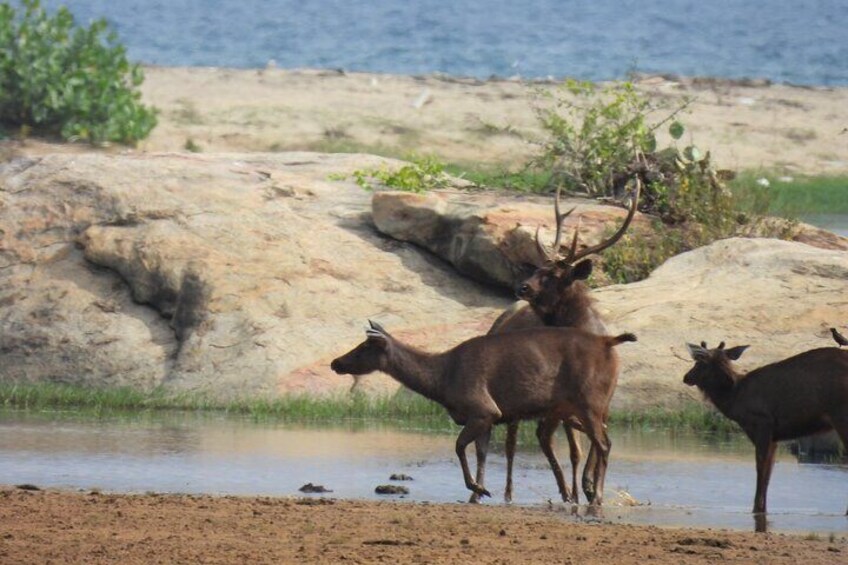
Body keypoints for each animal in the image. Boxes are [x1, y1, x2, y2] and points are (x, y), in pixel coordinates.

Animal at [331, 321, 636, 505]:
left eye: (363, 347)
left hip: (588, 400)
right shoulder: (489, 418)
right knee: (603, 437)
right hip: (576, 406)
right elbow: (481, 453)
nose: (336, 362)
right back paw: (582, 491)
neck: (442, 381)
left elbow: (458, 446)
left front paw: (477, 488)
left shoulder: (482, 408)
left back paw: (596, 495)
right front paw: (479, 491)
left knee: (603, 442)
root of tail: (610, 342)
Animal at [478, 180, 640, 505]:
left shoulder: (601, 399)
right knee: (514, 440)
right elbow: (574, 447)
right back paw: (511, 492)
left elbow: (589, 440)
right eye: (536, 269)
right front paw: (582, 488)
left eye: (554, 276)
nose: (522, 287)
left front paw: (588, 486)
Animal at [683, 341, 848, 515]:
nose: (686, 377)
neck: (735, 400)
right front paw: (763, 509)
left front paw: (756, 508)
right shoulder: (774, 436)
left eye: (699, 362)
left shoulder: (763, 423)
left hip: (841, 415)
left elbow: (760, 467)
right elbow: (769, 471)